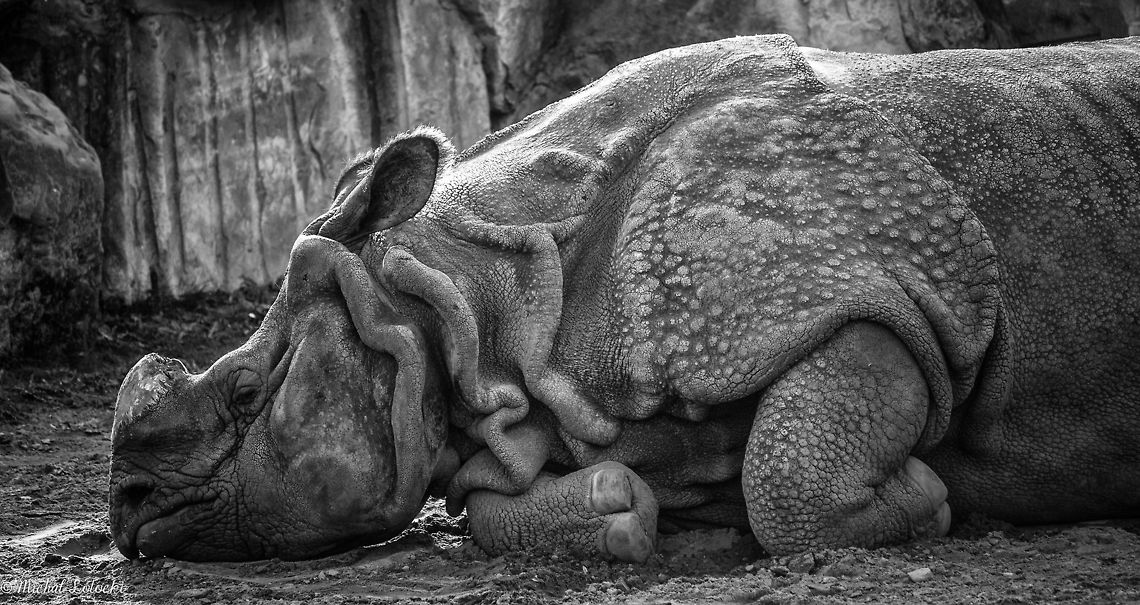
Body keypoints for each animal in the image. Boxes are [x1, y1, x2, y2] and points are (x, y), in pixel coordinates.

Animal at [109, 35, 1140, 563]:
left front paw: (930, 497)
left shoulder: (884, 289)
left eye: (247, 396)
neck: (470, 300)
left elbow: (794, 477)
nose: (124, 509)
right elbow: (500, 508)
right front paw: (628, 504)